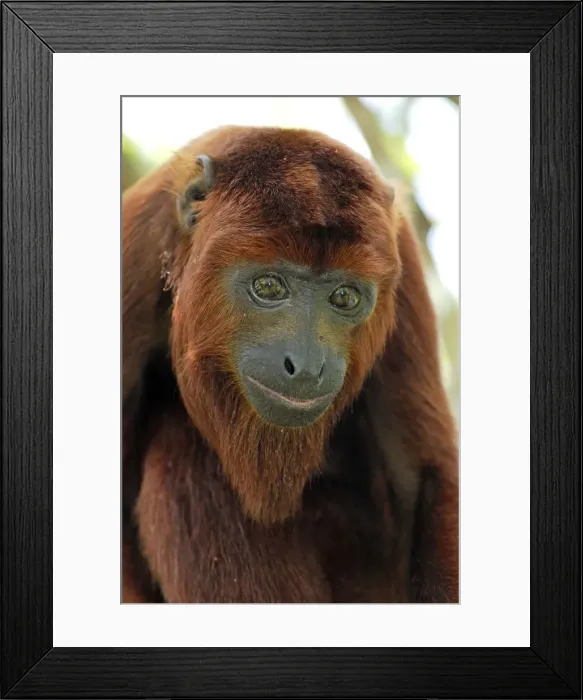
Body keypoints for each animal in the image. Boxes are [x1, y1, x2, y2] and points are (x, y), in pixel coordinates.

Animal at [121, 126, 459, 603]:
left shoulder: (404, 260)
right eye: (268, 287)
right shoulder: (135, 250)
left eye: (344, 297)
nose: (307, 365)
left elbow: (424, 476)